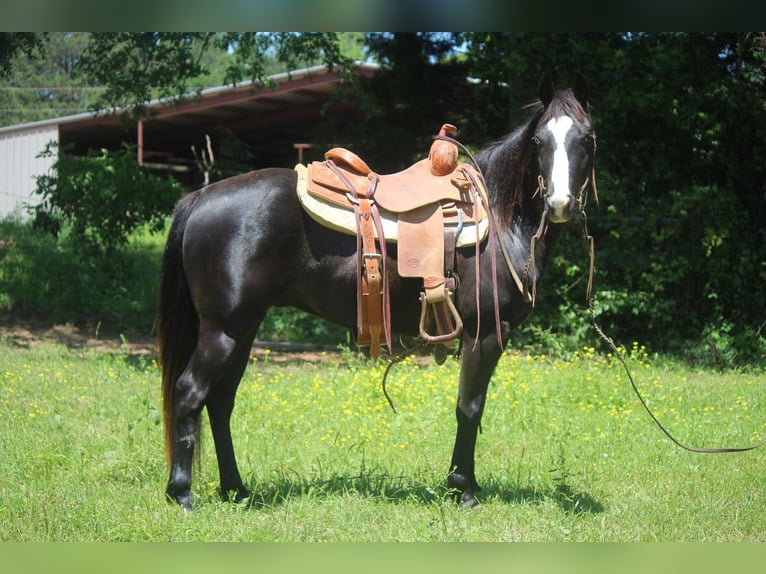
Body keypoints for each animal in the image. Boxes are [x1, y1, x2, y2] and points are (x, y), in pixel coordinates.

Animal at [159, 73, 596, 512]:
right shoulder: (484, 332)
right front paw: (464, 489)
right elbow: (469, 407)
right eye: (538, 140)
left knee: (220, 401)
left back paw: (235, 489)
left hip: (244, 328)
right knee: (190, 392)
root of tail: (200, 196)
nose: (560, 203)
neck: (502, 217)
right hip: (223, 329)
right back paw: (181, 493)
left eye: (587, 138)